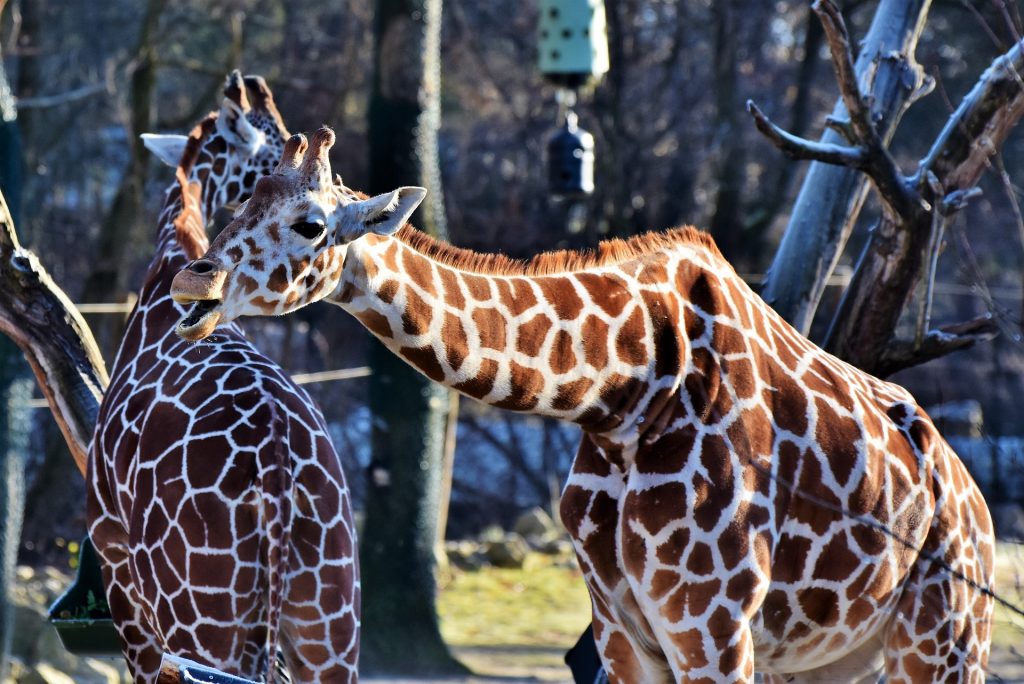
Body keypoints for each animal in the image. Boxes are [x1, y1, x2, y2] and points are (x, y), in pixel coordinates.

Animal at [89, 77, 360, 679]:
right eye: (270, 158)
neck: (176, 247)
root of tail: (278, 476)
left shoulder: (115, 562)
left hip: (199, 620)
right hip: (329, 622)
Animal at [165, 129, 991, 684]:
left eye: (309, 224)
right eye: (238, 201)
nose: (191, 284)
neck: (625, 394)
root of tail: (972, 501)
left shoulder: (713, 625)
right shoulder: (623, 628)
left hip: (945, 640)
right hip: (835, 659)